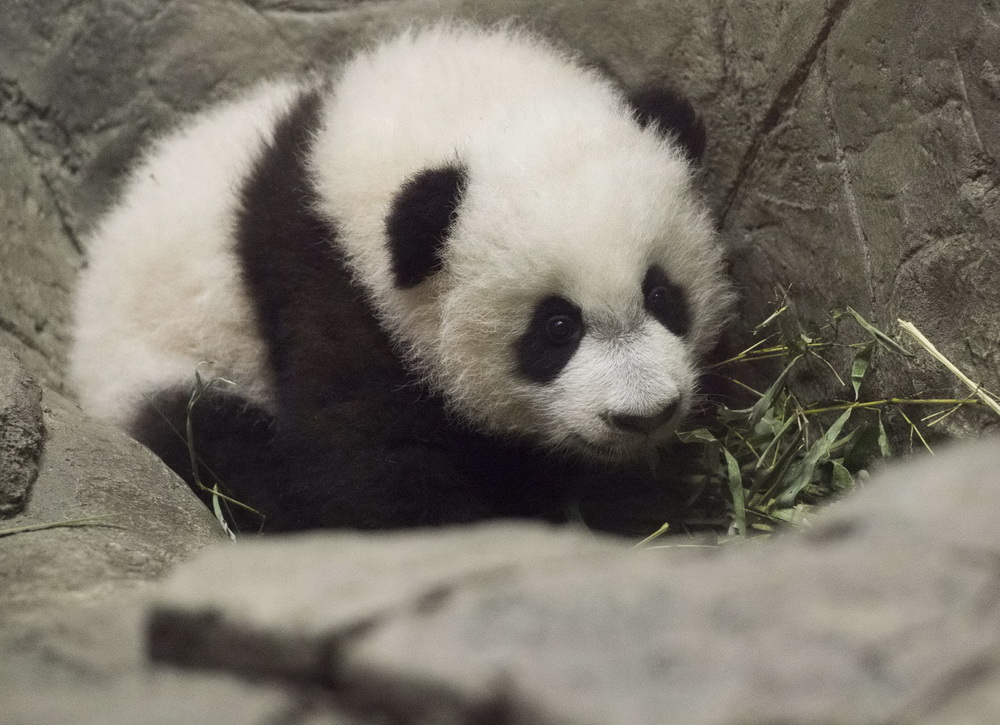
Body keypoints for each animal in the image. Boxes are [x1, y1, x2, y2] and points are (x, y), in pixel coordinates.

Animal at [70, 24, 734, 531]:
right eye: (556, 327)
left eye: (661, 294)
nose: (644, 414)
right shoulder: (324, 278)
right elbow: (369, 452)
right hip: (168, 371)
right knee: (217, 442)